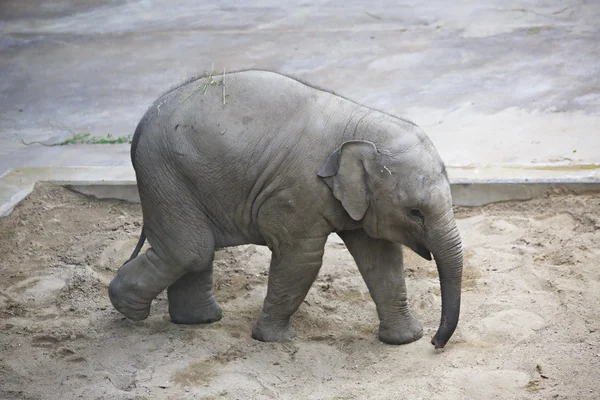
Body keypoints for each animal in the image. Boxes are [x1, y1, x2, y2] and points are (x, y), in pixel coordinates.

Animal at [109, 70, 464, 348]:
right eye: (416, 212)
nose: (436, 342)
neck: (357, 125)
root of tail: (143, 120)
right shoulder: (297, 192)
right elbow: (301, 259)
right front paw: (273, 339)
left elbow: (382, 259)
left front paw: (405, 340)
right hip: (164, 173)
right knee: (190, 251)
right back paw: (128, 310)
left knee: (197, 250)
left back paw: (199, 321)